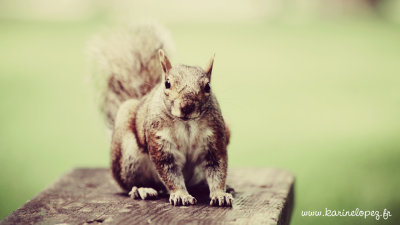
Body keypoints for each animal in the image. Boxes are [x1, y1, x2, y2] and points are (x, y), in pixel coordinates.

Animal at [87, 23, 231, 207]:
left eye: (208, 87)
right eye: (167, 84)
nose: (186, 106)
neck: (186, 123)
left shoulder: (215, 137)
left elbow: (217, 167)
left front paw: (220, 194)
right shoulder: (159, 139)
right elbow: (169, 171)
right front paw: (181, 195)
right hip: (128, 157)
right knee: (129, 183)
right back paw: (142, 189)